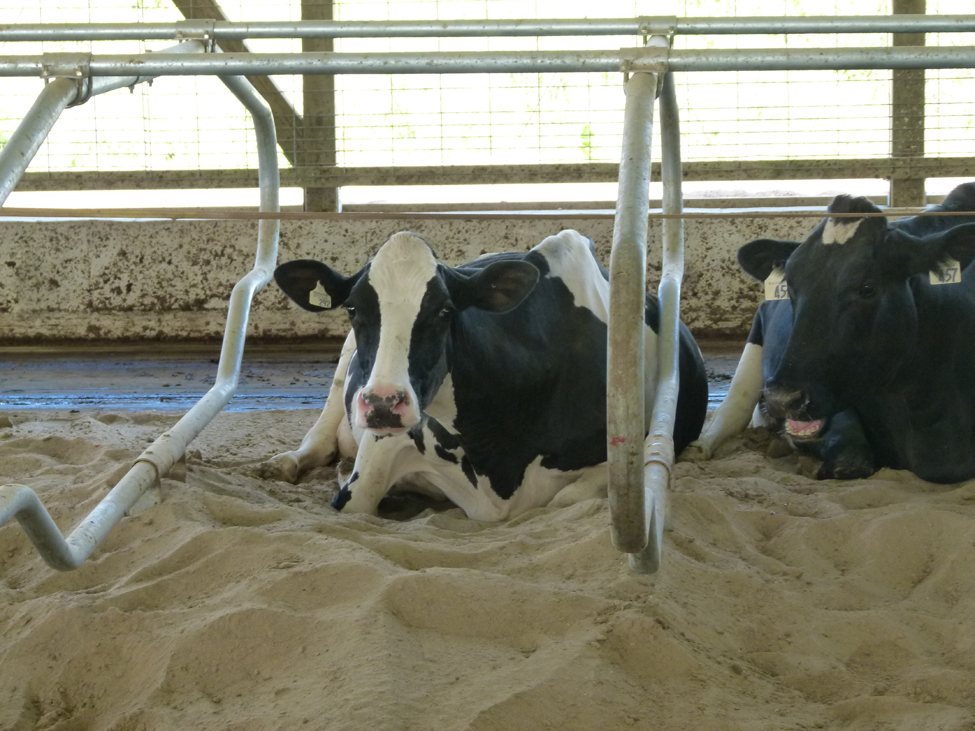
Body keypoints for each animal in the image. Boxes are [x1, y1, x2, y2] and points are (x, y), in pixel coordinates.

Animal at [264, 229, 708, 520]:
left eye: (444, 310)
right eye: (354, 309)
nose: (383, 404)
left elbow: (566, 501)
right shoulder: (377, 453)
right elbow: (356, 498)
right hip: (345, 369)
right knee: (321, 434)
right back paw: (284, 463)